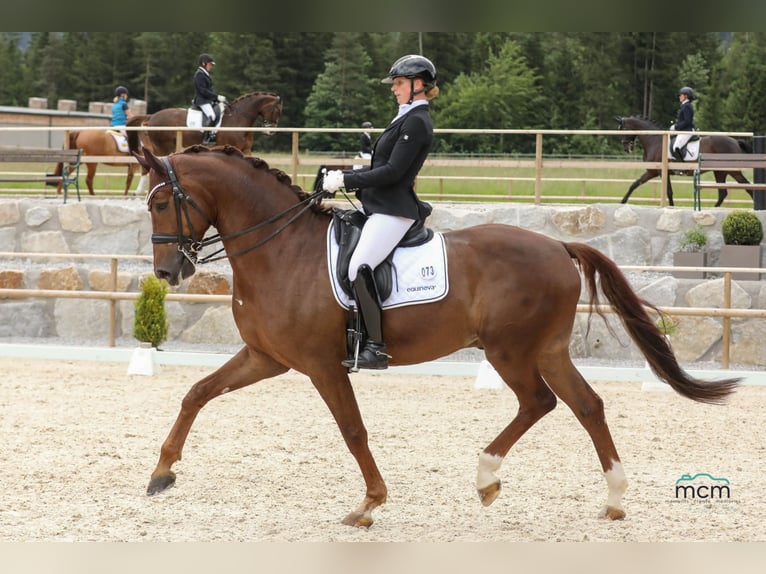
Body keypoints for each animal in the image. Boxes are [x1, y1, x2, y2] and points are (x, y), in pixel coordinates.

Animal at [127, 91, 284, 156]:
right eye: (277, 110)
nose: (271, 130)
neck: (239, 118)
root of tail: (152, 116)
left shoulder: (246, 150)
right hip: (163, 147)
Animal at [135, 145, 740, 532]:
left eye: (162, 202)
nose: (167, 272)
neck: (279, 249)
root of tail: (557, 245)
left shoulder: (321, 365)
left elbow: (353, 431)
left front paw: (369, 505)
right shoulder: (265, 357)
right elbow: (196, 393)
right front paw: (162, 473)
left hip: (509, 350)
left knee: (539, 402)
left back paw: (486, 477)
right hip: (546, 348)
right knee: (586, 405)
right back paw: (612, 499)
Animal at [616, 116, 752, 208]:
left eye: (624, 129)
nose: (625, 148)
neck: (655, 141)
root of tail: (735, 142)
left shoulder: (659, 172)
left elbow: (668, 192)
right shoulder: (653, 172)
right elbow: (635, 184)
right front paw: (622, 202)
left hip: (733, 171)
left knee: (748, 187)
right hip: (720, 172)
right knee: (723, 193)